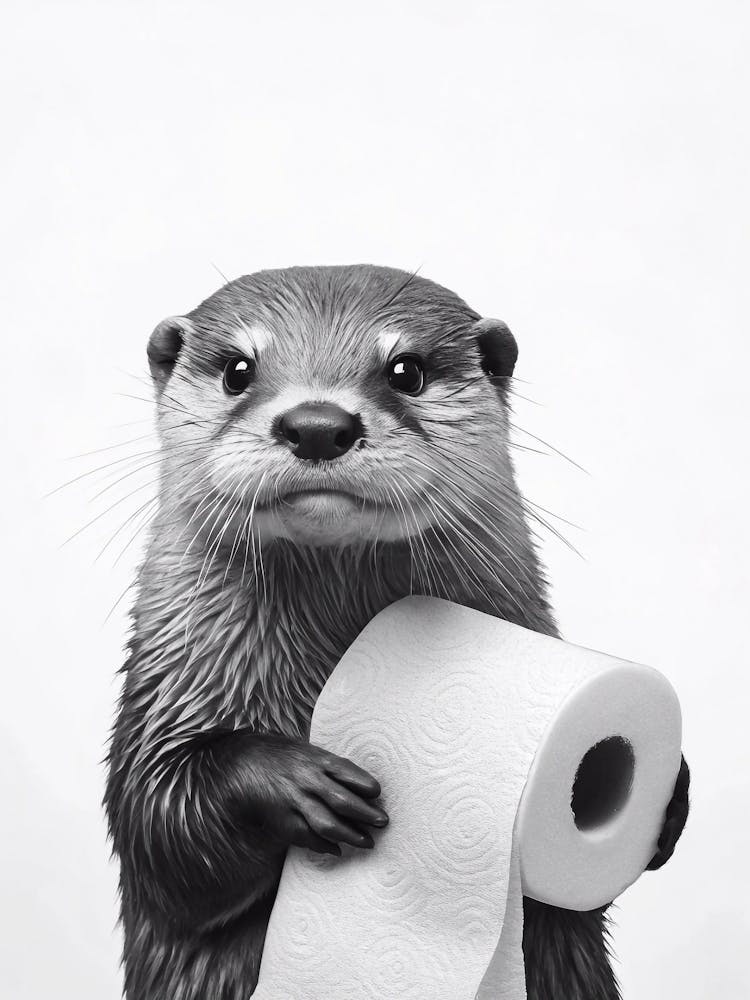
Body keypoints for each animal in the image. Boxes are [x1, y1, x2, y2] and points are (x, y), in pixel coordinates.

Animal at [104, 265, 689, 1000]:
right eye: (239, 368)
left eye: (405, 369)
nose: (316, 424)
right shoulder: (168, 688)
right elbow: (157, 826)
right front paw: (295, 783)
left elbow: (578, 902)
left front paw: (671, 798)